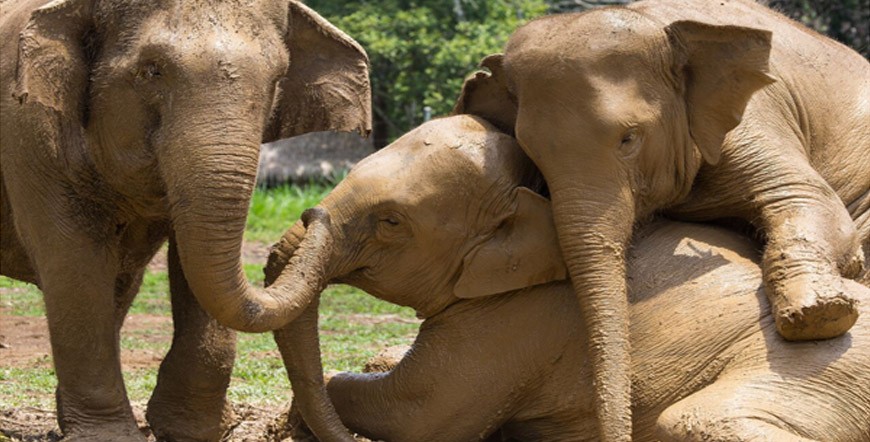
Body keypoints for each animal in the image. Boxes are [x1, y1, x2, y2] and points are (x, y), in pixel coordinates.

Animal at [0, 1, 368, 440]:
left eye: (278, 78)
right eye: (151, 70)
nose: (315, 212)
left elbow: (191, 257)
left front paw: (189, 428)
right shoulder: (27, 132)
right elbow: (74, 261)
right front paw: (110, 435)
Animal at [268, 115, 870, 442]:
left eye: (391, 222)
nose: (310, 212)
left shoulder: (524, 318)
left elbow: (418, 414)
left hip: (818, 376)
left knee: (694, 421)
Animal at [454, 0, 868, 438]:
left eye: (629, 138)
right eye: (531, 154)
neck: (657, 25)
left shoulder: (754, 117)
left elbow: (810, 201)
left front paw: (817, 316)